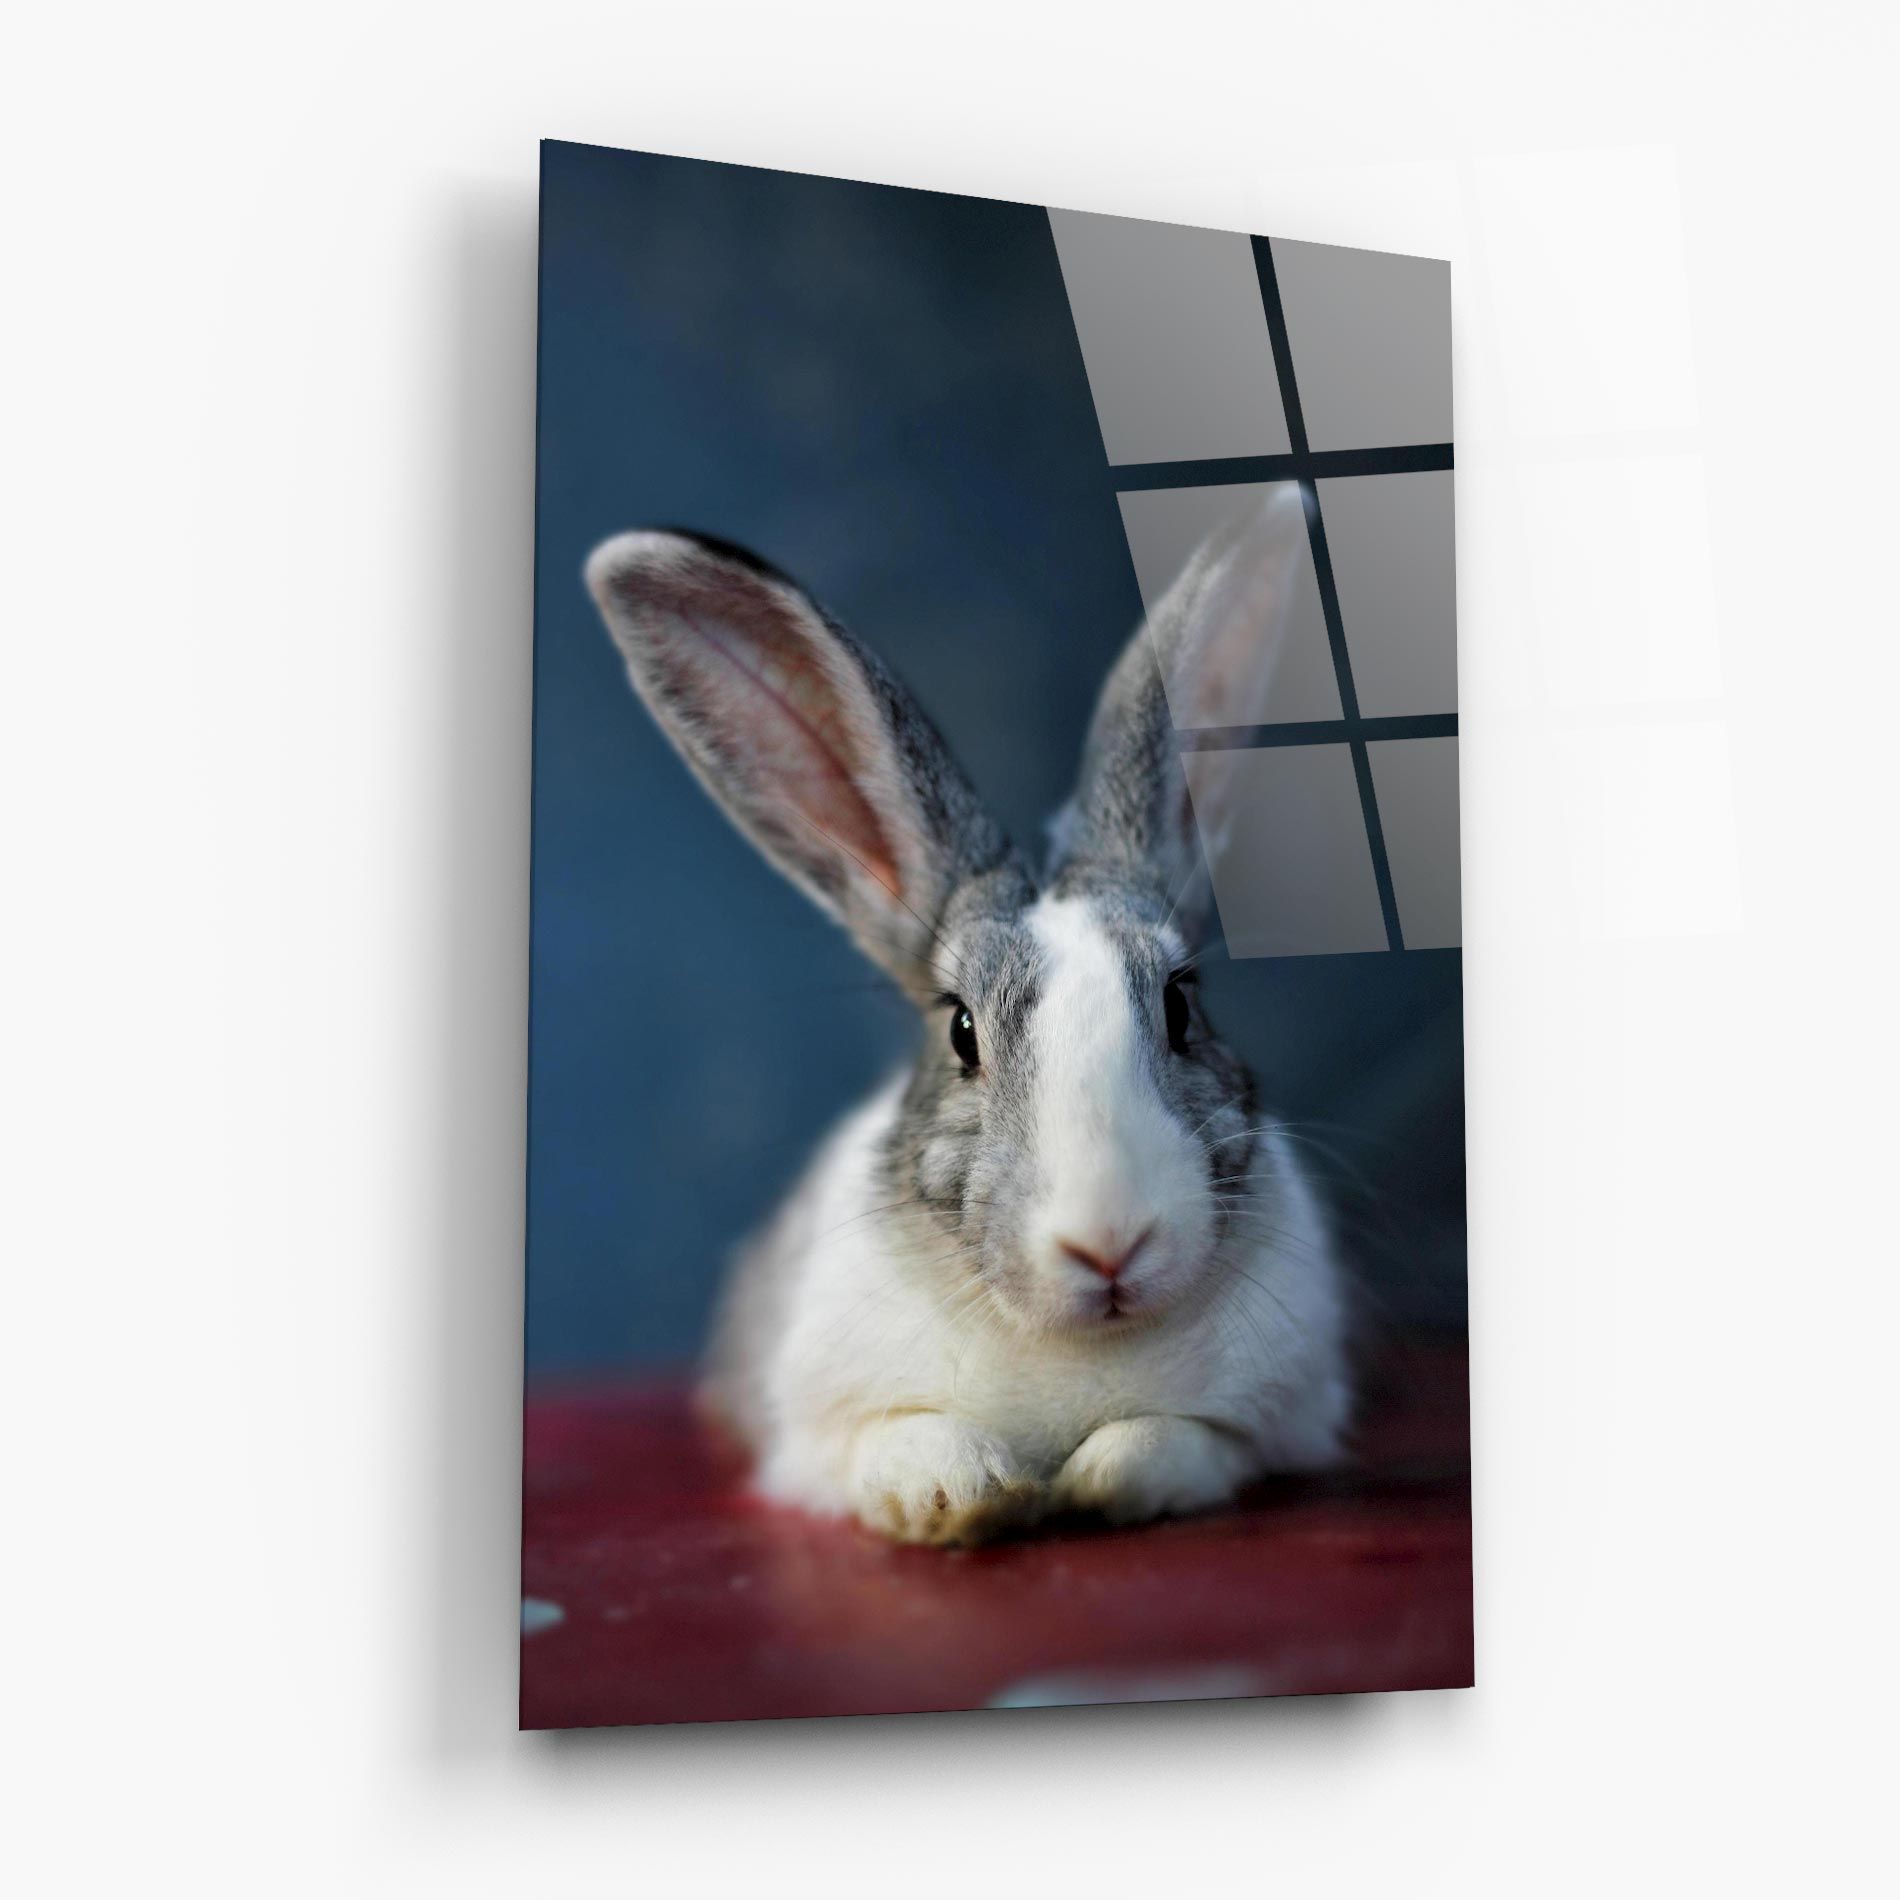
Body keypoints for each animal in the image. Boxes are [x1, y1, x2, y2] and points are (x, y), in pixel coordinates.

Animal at [584, 486, 1352, 1546]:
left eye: (1181, 1004)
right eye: (960, 1033)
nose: (1110, 1243)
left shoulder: (1269, 1424)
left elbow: (1171, 1442)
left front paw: (1097, 1479)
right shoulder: (816, 1439)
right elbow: (906, 1442)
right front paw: (964, 1496)